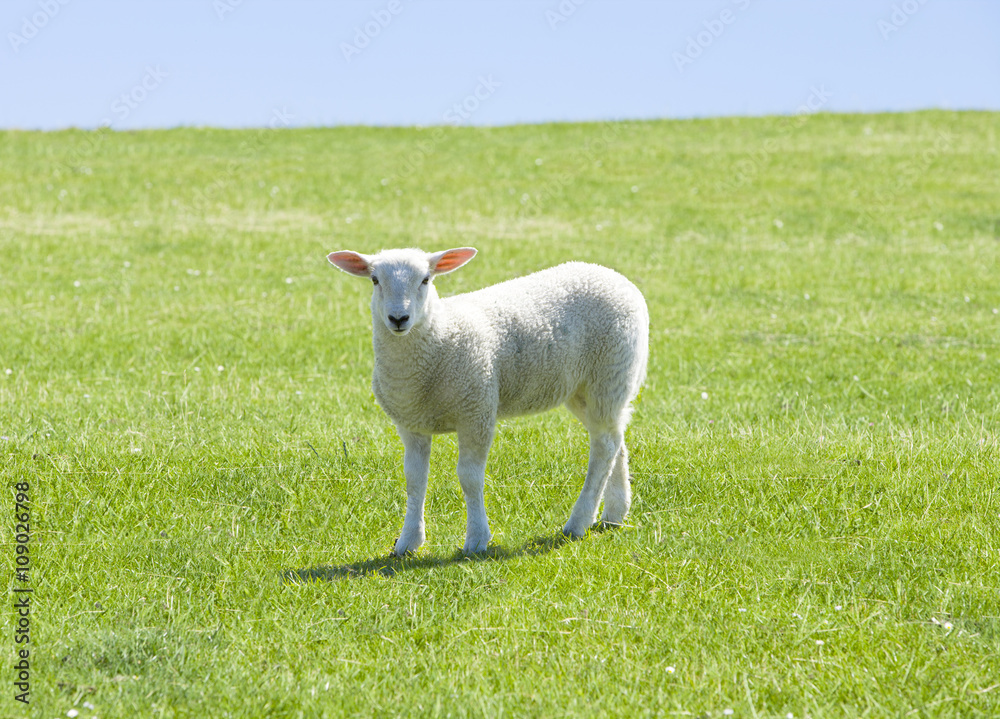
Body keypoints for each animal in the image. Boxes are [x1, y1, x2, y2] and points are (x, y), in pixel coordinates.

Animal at [327, 247, 649, 556]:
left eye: (426, 280)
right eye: (375, 280)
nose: (398, 319)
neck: (440, 337)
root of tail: (613, 277)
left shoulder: (477, 409)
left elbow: (469, 477)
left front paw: (477, 539)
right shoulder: (411, 423)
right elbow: (414, 480)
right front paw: (408, 541)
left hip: (608, 375)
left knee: (604, 447)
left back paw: (579, 522)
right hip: (586, 390)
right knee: (614, 440)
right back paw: (614, 513)